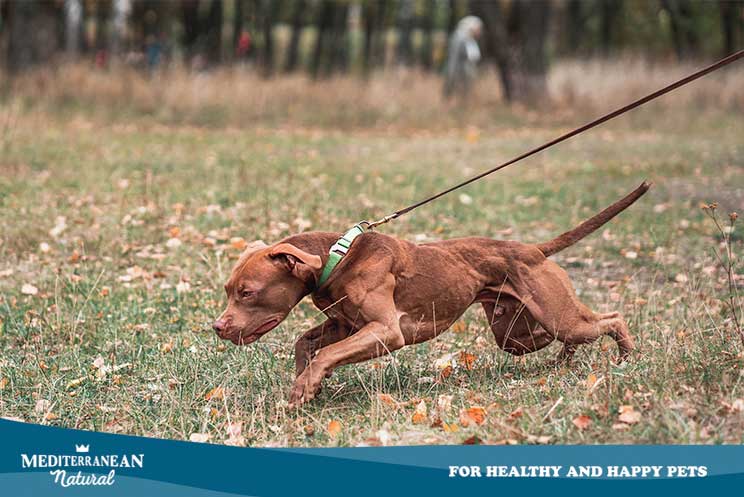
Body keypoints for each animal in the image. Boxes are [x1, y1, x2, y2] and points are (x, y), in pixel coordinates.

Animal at [212, 180, 648, 404]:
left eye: (247, 293)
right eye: (229, 290)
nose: (217, 327)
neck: (337, 258)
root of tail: (533, 250)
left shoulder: (386, 331)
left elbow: (325, 354)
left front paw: (307, 384)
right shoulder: (344, 325)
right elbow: (307, 344)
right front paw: (307, 387)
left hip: (556, 316)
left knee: (609, 318)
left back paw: (626, 357)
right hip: (517, 333)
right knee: (565, 334)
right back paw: (564, 361)